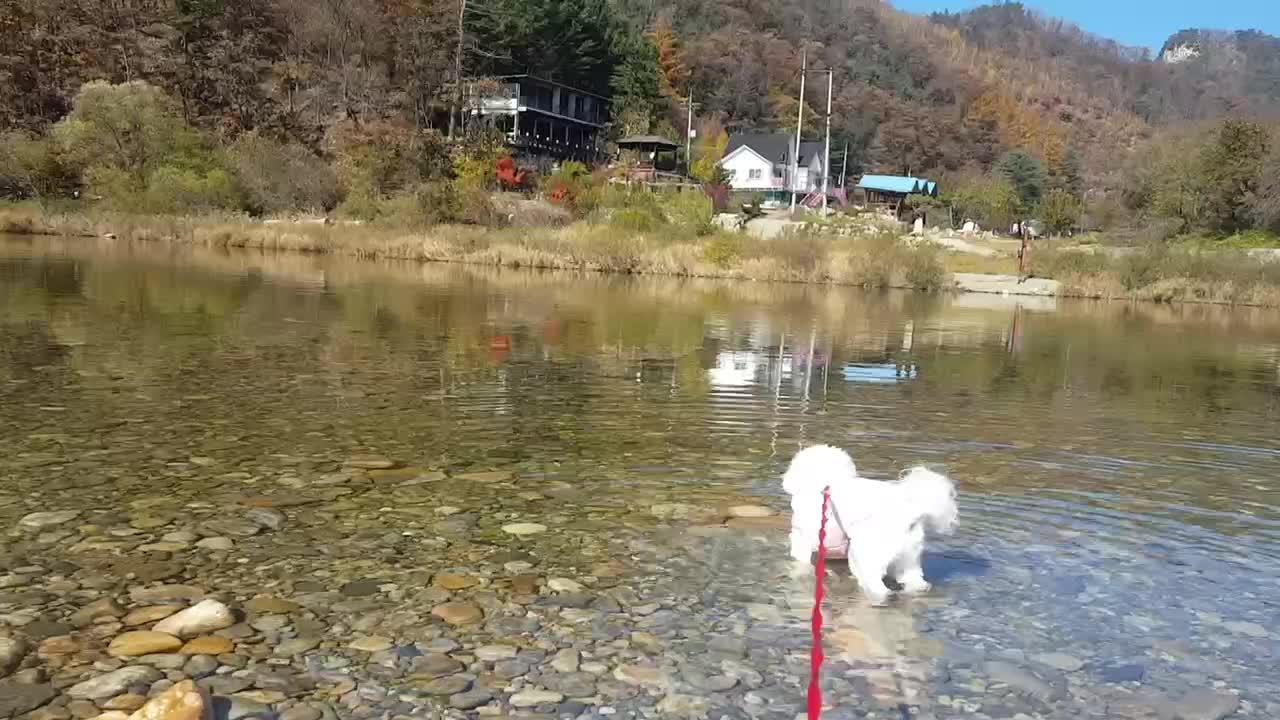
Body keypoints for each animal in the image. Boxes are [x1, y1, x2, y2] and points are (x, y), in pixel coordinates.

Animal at [778, 443, 962, 599]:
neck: (824, 483)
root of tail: (909, 511)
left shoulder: (802, 544)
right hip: (908, 559)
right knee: (917, 583)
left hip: (866, 556)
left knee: (878, 588)